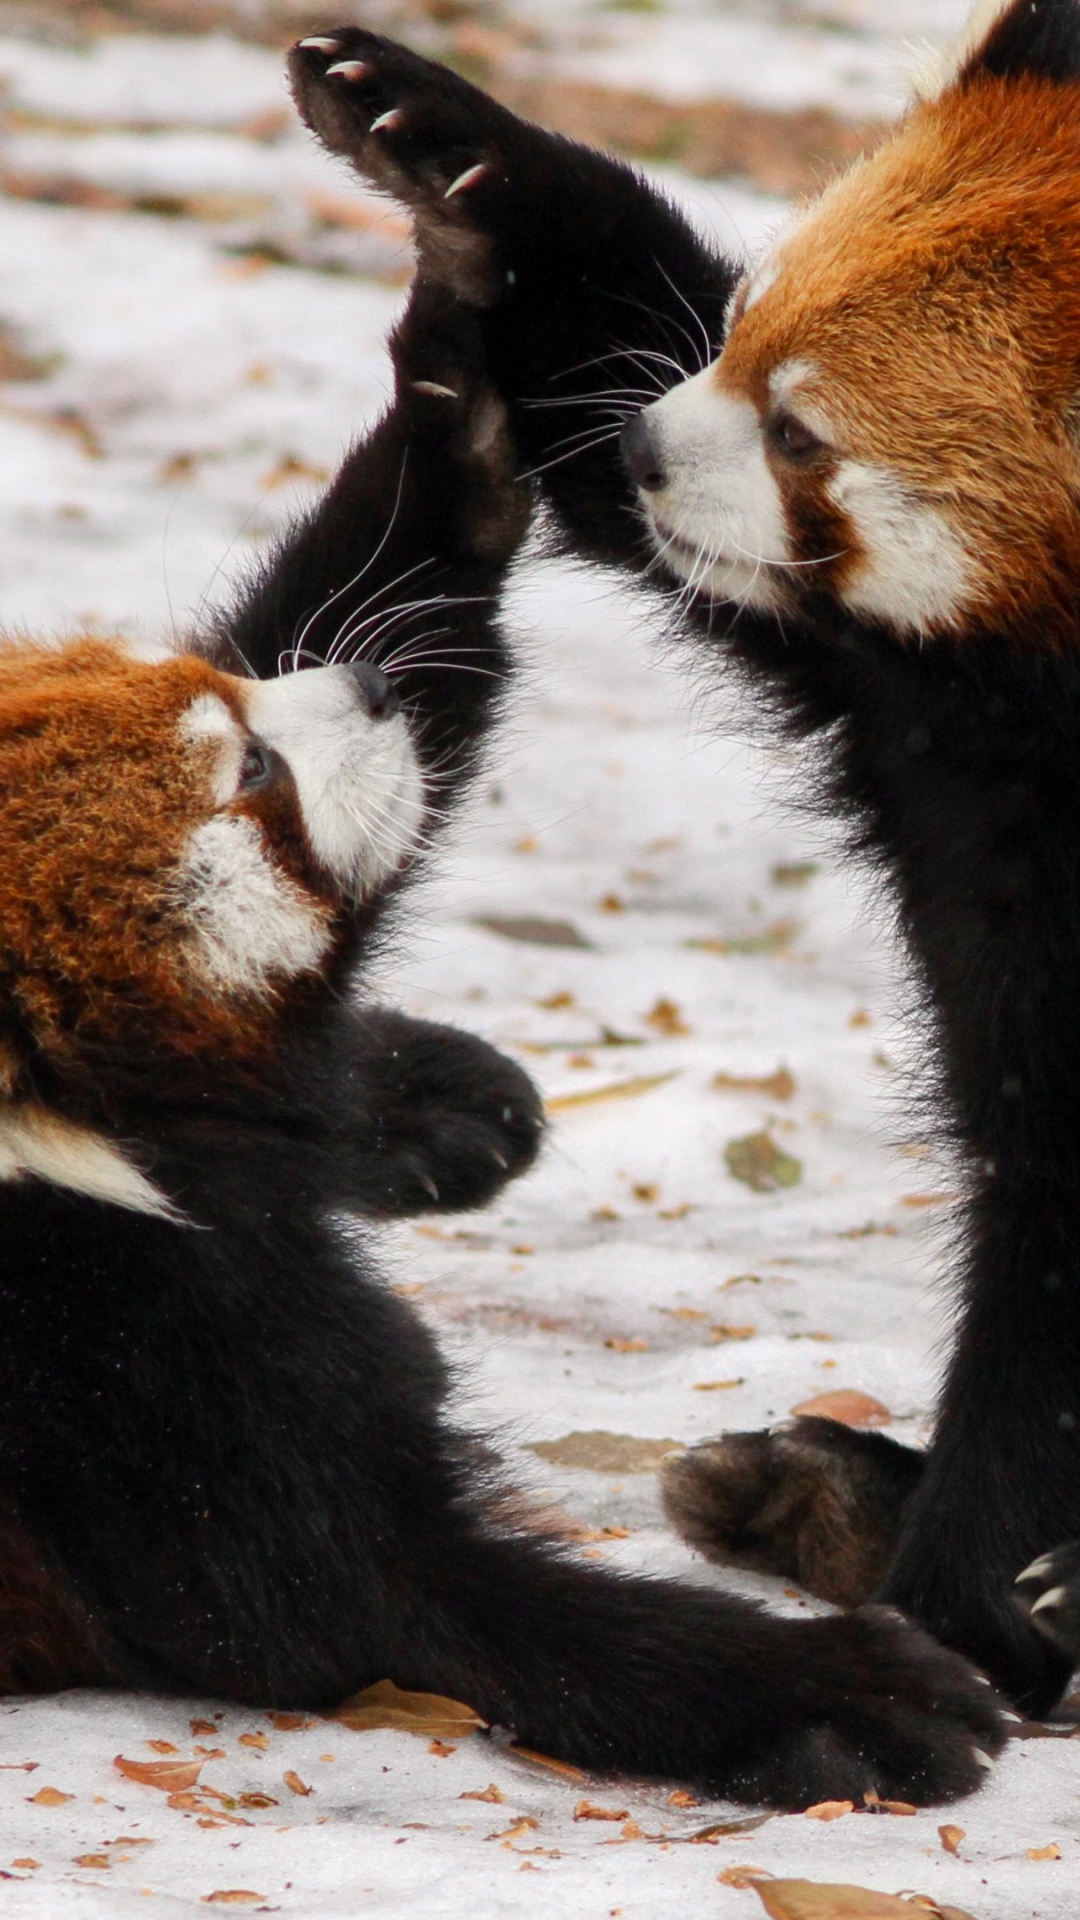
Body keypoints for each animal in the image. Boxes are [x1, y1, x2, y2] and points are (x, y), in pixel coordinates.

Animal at [0, 255, 999, 1797]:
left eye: (220, 694)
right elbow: (396, 1603)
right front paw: (839, 1692)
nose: (361, 688)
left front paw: (453, 409)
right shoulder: (107, 1369)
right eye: (256, 774)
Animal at [288, 0, 1080, 1712]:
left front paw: (978, 1601)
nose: (652, 448)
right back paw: (819, 1487)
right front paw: (445, 142)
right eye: (747, 324)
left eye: (802, 432)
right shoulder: (913, 708)